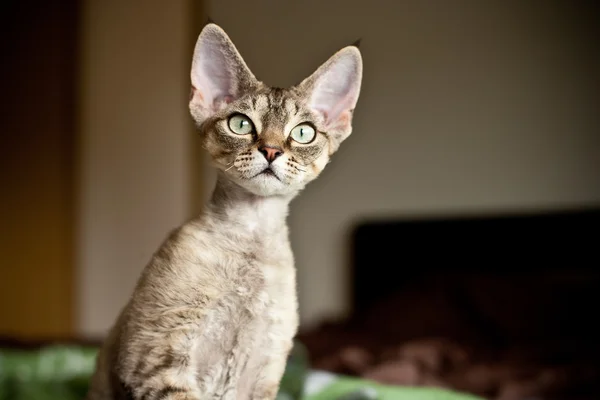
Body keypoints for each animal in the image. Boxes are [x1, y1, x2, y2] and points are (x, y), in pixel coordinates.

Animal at [86, 22, 364, 400]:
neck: (252, 241)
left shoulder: (263, 373)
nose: (271, 150)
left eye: (303, 133)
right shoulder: (157, 356)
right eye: (241, 124)